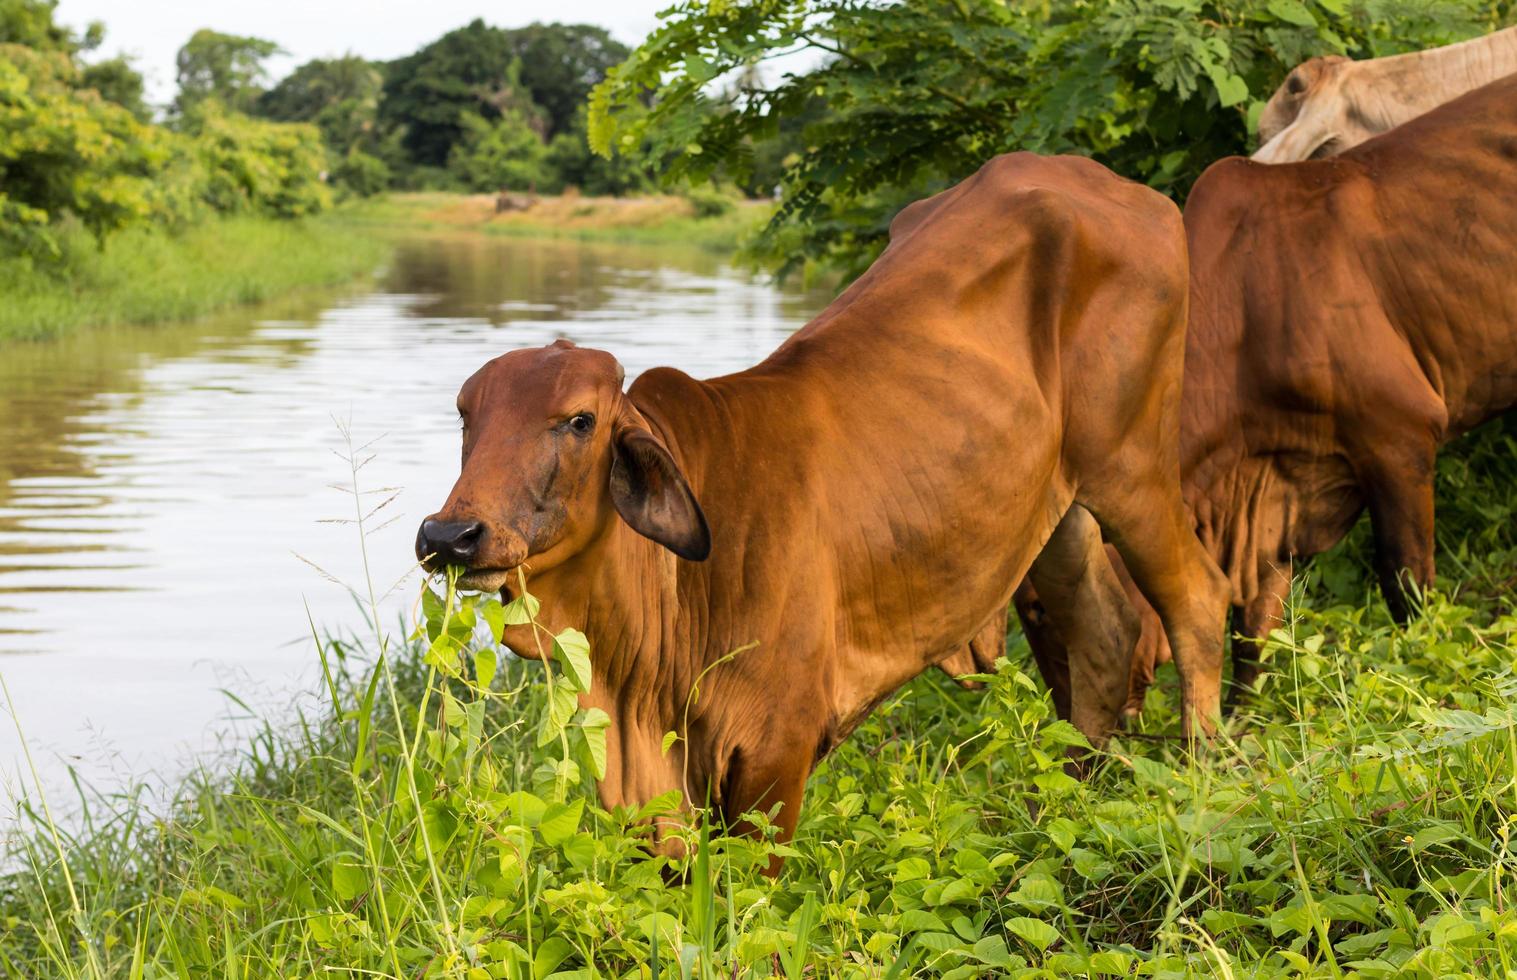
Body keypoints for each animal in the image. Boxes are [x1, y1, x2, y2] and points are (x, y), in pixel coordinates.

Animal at [1025, 70, 1517, 713]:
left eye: (1037, 610)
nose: (1067, 722)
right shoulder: (1273, 494)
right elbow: (1254, 631)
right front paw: (1242, 721)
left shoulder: (1401, 439)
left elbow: (1407, 590)